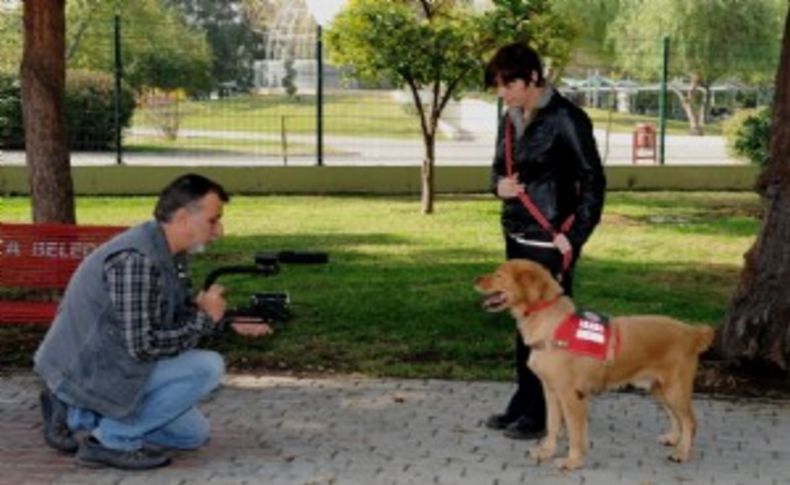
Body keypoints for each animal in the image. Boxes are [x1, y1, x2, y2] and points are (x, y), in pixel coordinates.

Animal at [476, 260, 716, 470]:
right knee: (676, 417)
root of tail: (692, 332)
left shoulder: (572, 395)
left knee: (690, 421)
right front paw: (547, 451)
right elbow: (552, 425)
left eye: (499, 275)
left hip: (675, 389)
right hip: (658, 388)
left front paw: (572, 461)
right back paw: (673, 439)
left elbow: (574, 433)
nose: (476, 279)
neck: (549, 322)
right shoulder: (551, 391)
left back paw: (682, 452)